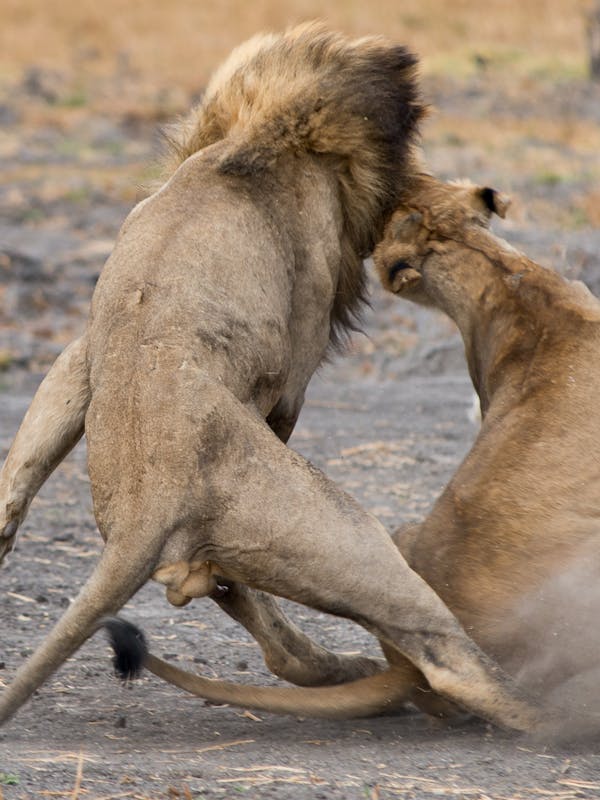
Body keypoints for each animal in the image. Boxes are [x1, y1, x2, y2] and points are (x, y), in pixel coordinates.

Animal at [0, 26, 544, 734]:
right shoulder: (296, 365)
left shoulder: (77, 353)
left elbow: (21, 467)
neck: (252, 138)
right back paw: (551, 713)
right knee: (444, 656)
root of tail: (151, 507)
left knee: (266, 627)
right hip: (347, 532)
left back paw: (344, 669)